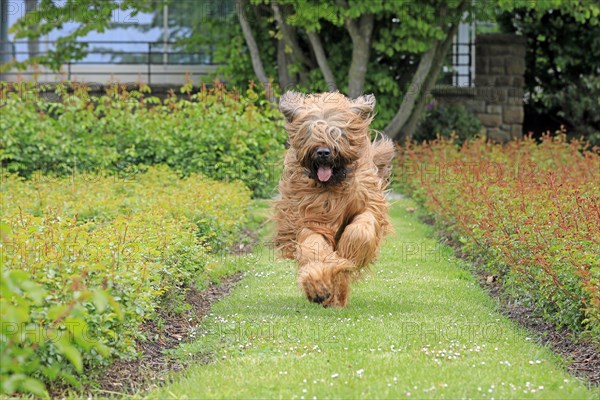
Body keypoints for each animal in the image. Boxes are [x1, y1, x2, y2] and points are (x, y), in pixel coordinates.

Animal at [274, 92, 396, 308]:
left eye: (336, 133)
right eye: (311, 132)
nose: (323, 152)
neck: (332, 185)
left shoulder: (368, 203)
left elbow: (361, 230)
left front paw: (348, 253)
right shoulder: (310, 217)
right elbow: (314, 246)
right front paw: (317, 285)